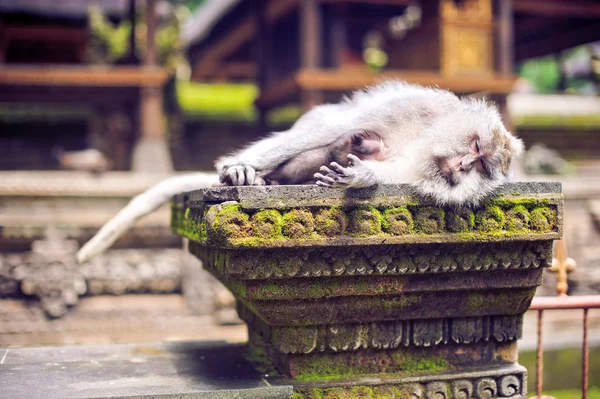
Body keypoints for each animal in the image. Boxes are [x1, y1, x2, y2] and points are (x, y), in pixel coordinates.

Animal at [77, 81, 524, 264]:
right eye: (477, 148)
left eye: (482, 166)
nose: (462, 165)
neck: (426, 139)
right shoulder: (418, 108)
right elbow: (334, 128)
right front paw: (239, 167)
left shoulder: (417, 167)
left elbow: (390, 173)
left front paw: (362, 177)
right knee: (330, 134)